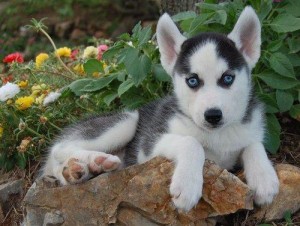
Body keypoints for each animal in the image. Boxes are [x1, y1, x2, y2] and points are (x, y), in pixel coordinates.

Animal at [42, 6, 278, 212]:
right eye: (193, 81)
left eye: (228, 78)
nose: (213, 115)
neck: (217, 136)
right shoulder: (148, 146)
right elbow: (192, 142)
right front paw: (187, 185)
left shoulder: (248, 132)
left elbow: (254, 144)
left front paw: (264, 178)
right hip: (126, 121)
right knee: (60, 148)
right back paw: (94, 161)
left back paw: (79, 170)